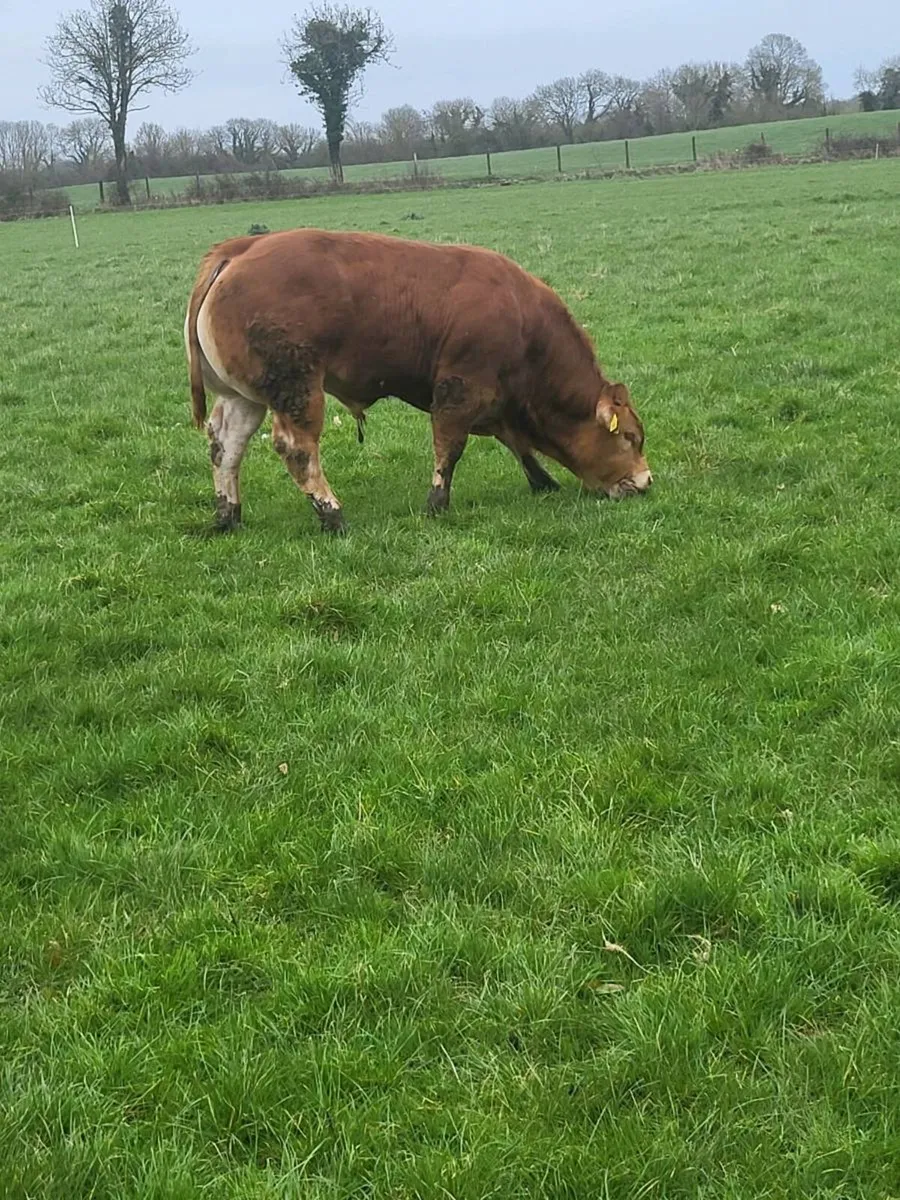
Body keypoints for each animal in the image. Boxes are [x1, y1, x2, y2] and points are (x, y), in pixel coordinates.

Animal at [184, 228, 652, 533]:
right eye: (629, 437)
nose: (646, 483)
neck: (523, 320)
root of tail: (240, 249)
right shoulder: (461, 389)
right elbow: (450, 449)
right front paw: (437, 504)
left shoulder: (497, 401)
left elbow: (517, 443)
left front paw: (543, 482)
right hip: (297, 389)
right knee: (296, 449)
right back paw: (332, 515)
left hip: (243, 397)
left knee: (225, 446)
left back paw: (228, 515)